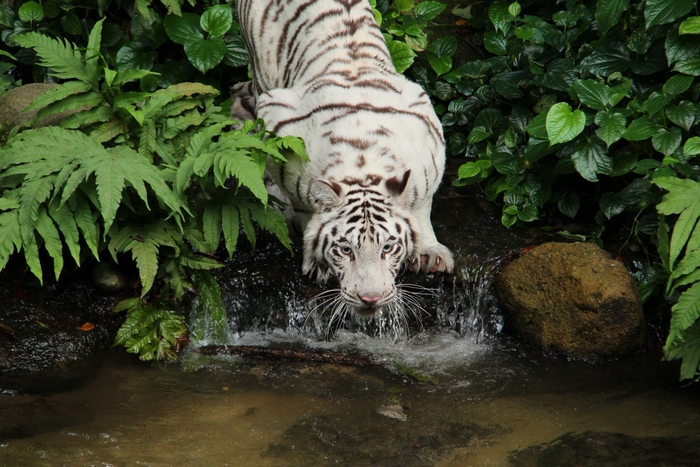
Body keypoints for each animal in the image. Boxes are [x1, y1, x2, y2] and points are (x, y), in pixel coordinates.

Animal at [232, 0, 454, 320]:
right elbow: (304, 206)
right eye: (346, 250)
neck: (363, 164)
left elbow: (422, 206)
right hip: (263, 75)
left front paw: (430, 253)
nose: (371, 299)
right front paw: (316, 261)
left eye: (388, 248)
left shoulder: (429, 139)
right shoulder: (278, 124)